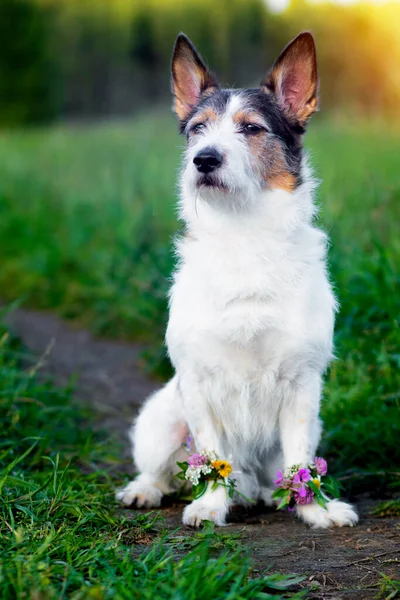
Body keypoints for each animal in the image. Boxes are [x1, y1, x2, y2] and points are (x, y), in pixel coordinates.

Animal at [117, 32, 358, 528]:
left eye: (251, 128)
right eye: (197, 129)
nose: (203, 160)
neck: (243, 233)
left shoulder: (303, 385)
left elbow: (300, 462)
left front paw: (316, 509)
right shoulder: (198, 380)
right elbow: (210, 457)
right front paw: (210, 505)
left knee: (271, 475)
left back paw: (261, 495)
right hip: (161, 418)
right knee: (162, 469)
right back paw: (146, 490)